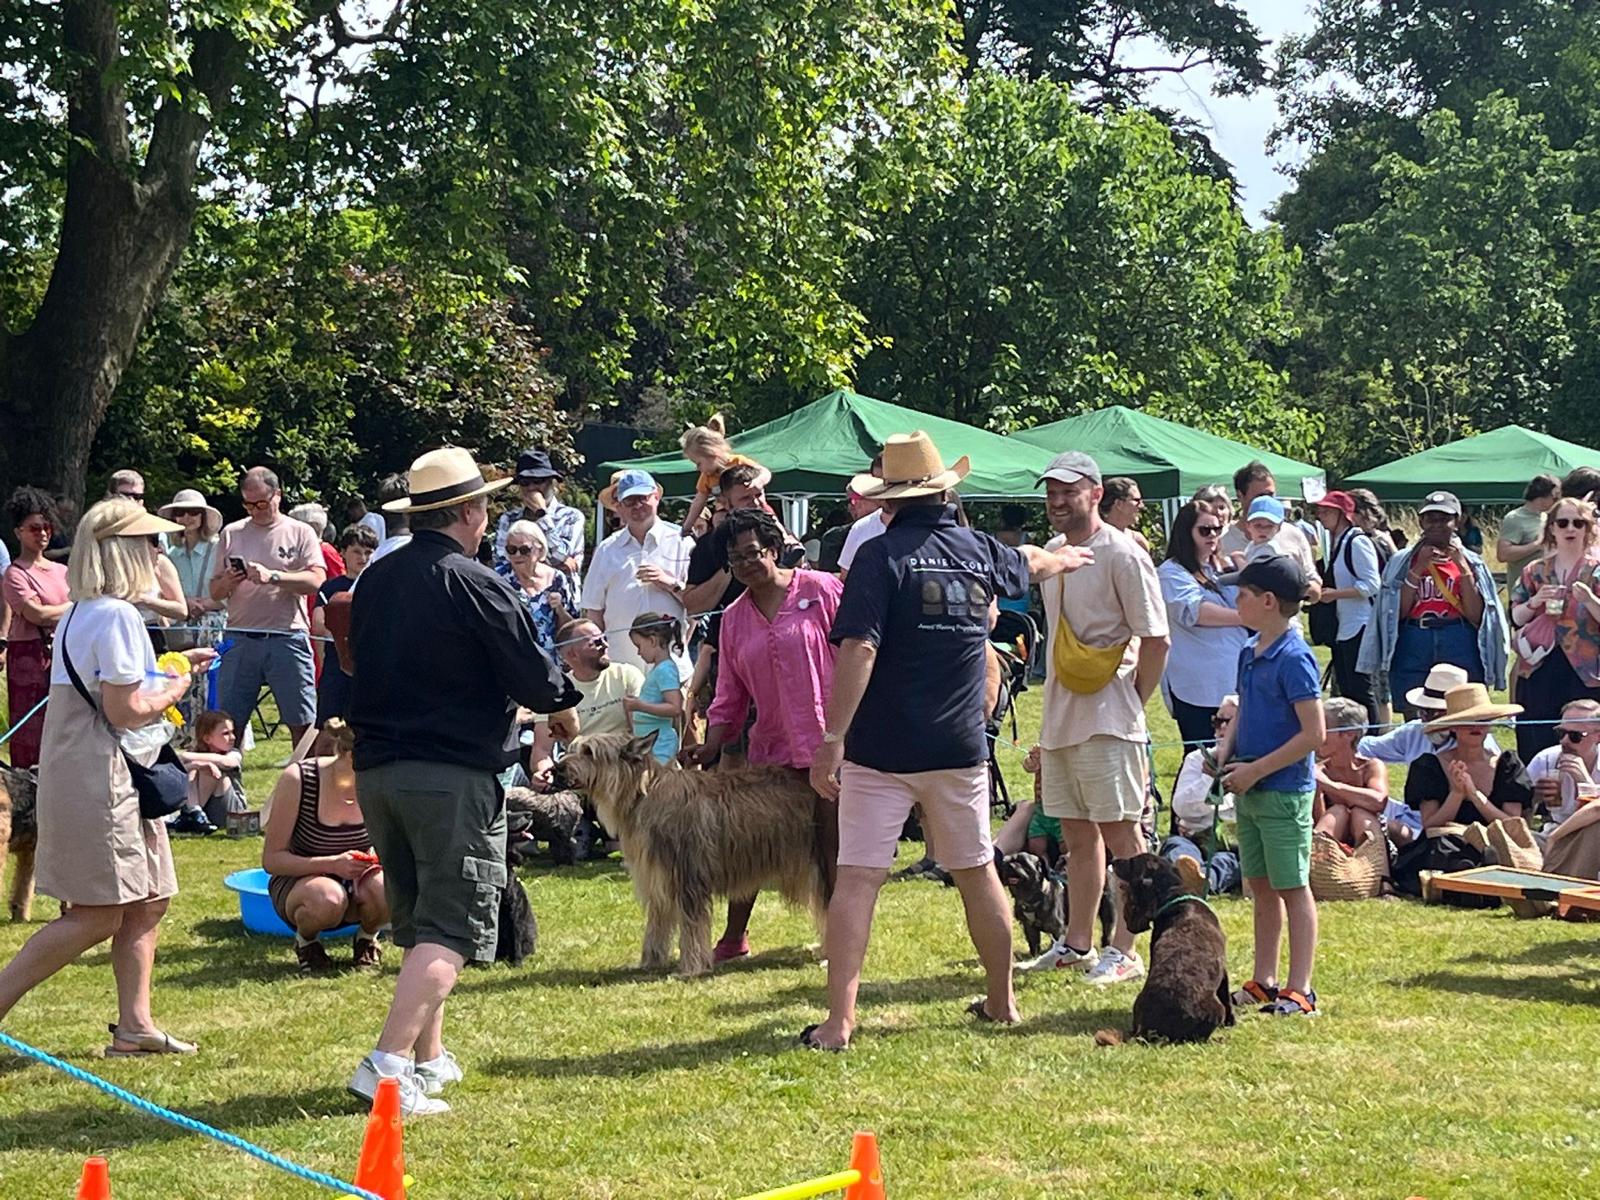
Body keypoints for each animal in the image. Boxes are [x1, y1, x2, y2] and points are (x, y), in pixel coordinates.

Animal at [550, 732, 825, 979]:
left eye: (589, 752)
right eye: (571, 748)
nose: (555, 769)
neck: (642, 796)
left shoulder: (689, 879)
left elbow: (692, 930)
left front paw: (690, 968)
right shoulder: (657, 879)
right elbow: (656, 926)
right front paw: (650, 961)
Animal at [1100, 857, 1235, 1043]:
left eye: (1132, 862)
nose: (1113, 860)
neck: (1177, 897)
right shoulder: (1224, 972)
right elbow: (1227, 997)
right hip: (1216, 1010)